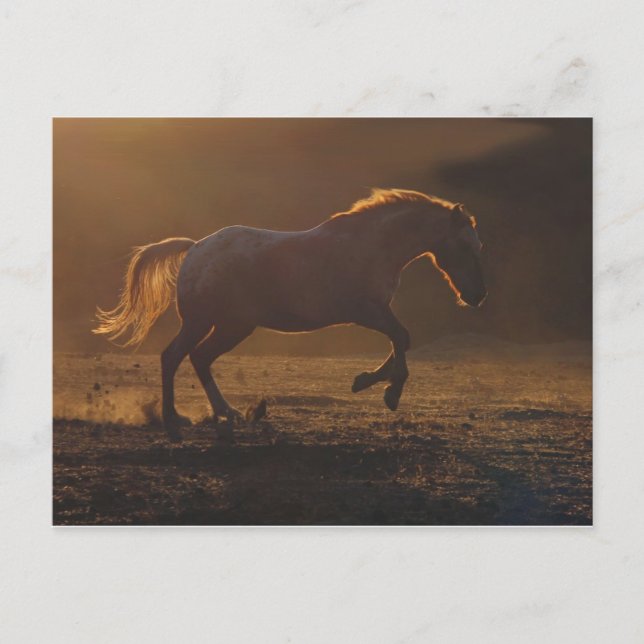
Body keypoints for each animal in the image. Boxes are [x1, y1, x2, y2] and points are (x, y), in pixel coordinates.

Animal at [94, 188, 486, 441]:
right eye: (465, 245)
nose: (477, 296)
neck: (372, 246)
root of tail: (195, 249)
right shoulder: (364, 311)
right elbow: (401, 337)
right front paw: (389, 391)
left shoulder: (376, 311)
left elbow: (400, 340)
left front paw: (366, 381)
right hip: (202, 322)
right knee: (173, 356)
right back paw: (173, 422)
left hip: (233, 326)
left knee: (200, 358)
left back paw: (227, 414)